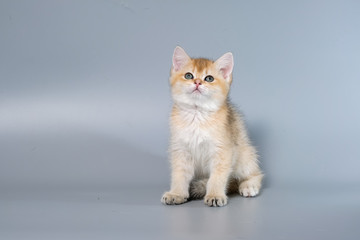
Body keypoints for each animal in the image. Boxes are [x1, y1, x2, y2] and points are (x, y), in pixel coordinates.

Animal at [162, 46, 262, 206]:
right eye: (189, 75)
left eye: (209, 78)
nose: (197, 82)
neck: (197, 115)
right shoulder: (180, 150)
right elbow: (179, 175)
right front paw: (176, 193)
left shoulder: (223, 151)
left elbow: (217, 177)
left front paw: (215, 195)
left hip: (244, 154)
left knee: (255, 173)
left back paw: (249, 186)